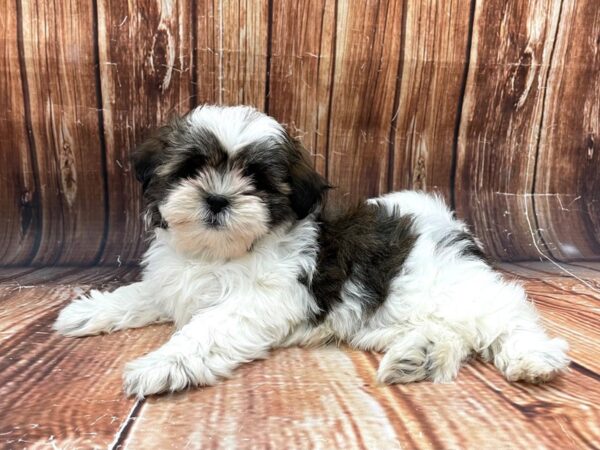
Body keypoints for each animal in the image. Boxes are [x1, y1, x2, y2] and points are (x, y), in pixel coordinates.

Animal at [54, 104, 568, 398]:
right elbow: (142, 295)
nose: (217, 199)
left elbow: (205, 330)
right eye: (190, 169)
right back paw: (419, 355)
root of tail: (444, 224)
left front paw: (161, 365)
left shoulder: (260, 300)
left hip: (456, 287)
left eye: (256, 181)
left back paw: (533, 357)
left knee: (505, 314)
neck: (219, 253)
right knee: (452, 330)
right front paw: (87, 312)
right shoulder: (173, 284)